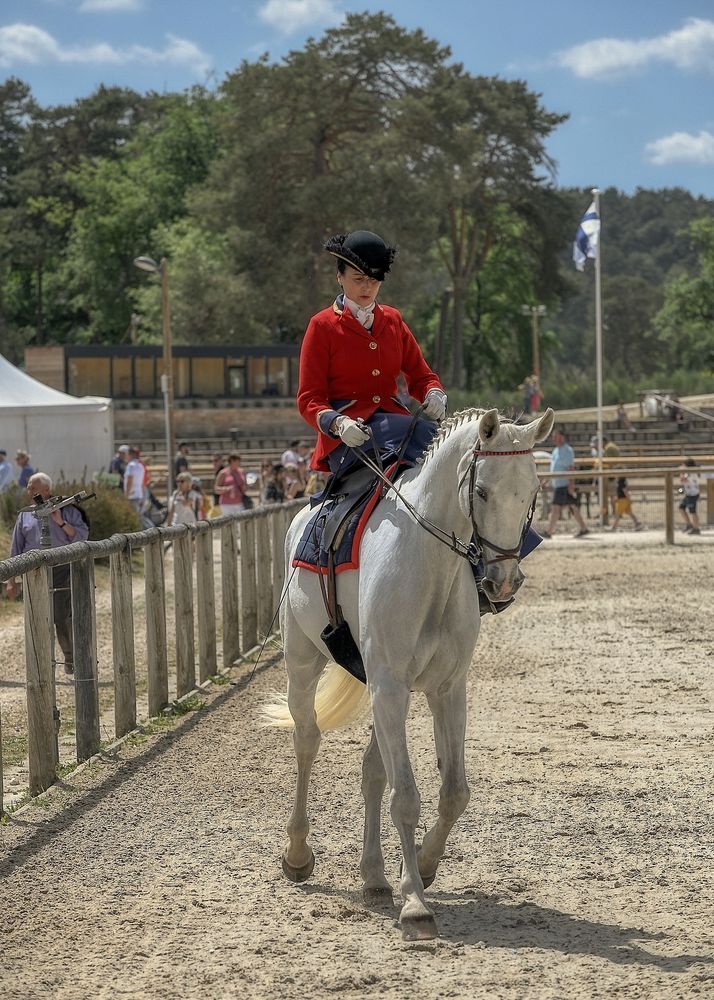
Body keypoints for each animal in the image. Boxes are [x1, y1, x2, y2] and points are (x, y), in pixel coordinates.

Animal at [264, 404, 552, 936]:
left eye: (532, 491)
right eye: (482, 491)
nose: (503, 581)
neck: (431, 564)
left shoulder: (446, 689)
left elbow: (453, 792)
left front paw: (424, 865)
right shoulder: (392, 688)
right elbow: (406, 797)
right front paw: (415, 902)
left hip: (381, 691)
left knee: (372, 772)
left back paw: (375, 876)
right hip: (306, 664)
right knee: (307, 742)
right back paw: (297, 853)